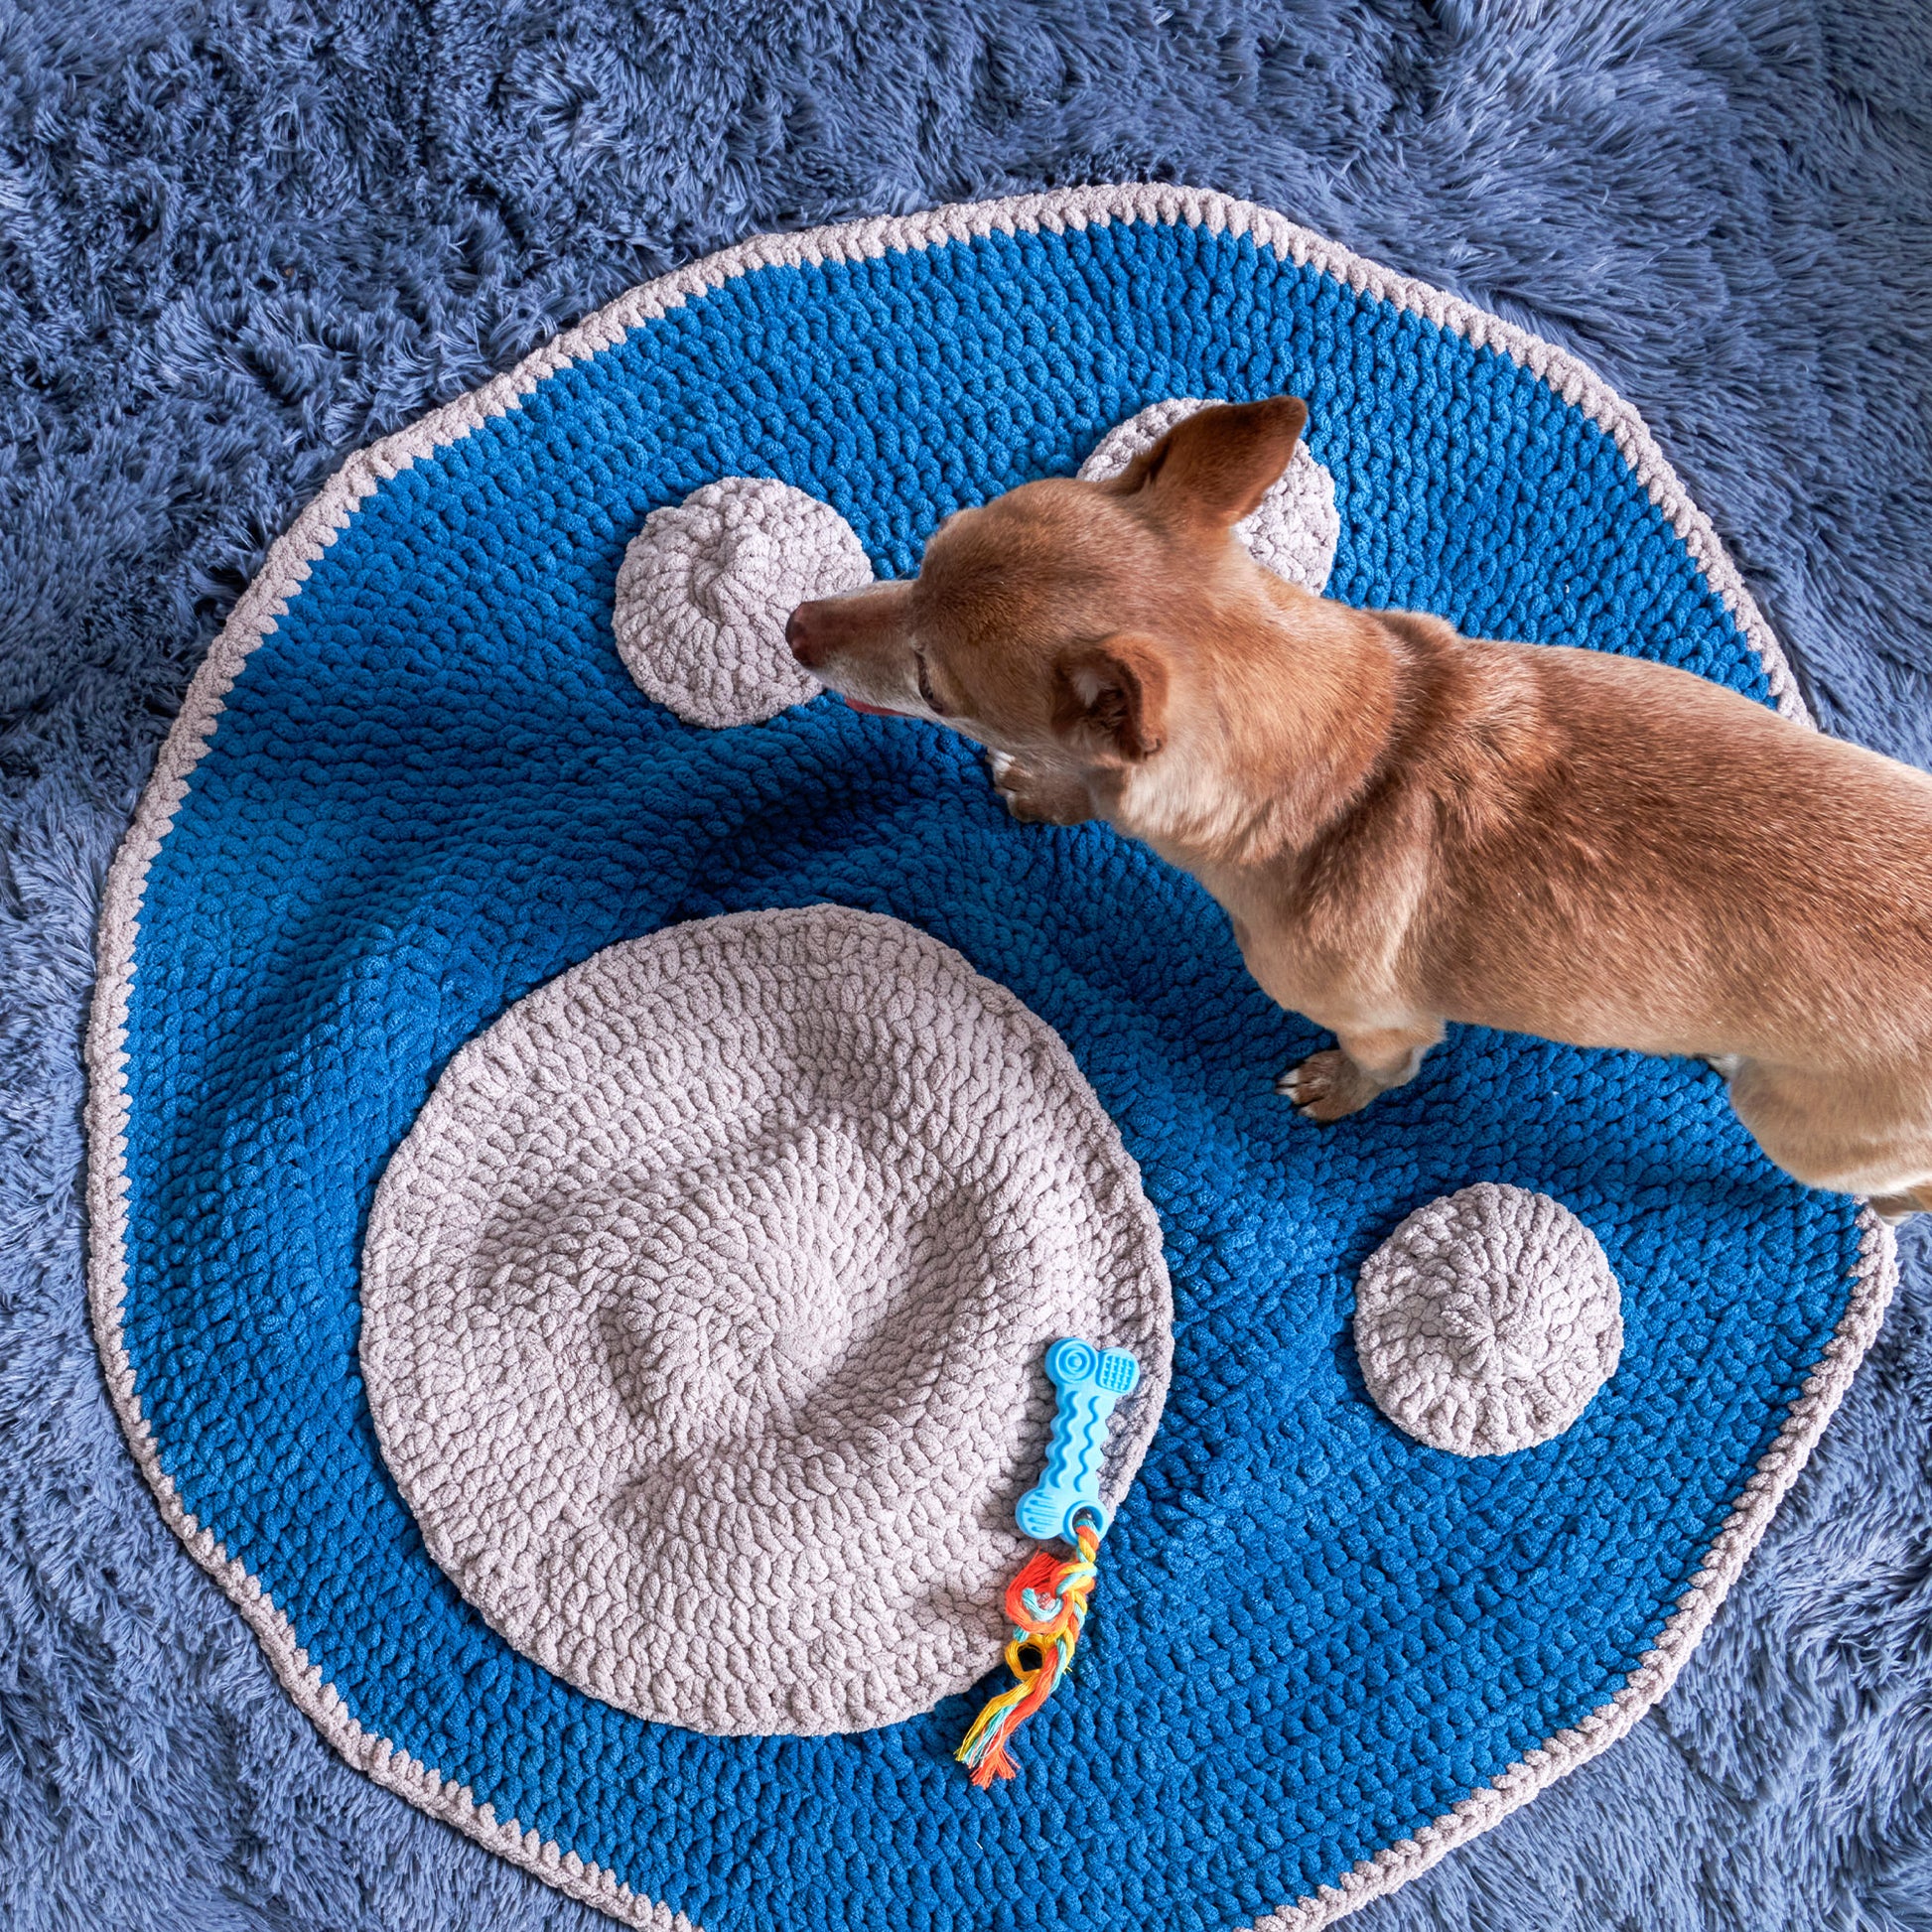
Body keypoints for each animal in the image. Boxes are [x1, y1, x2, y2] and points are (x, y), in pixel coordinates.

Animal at [780, 397, 1932, 1213]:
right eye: (929, 548)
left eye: (935, 689)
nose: (792, 624)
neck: (1360, 753)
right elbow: (1075, 788)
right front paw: (1043, 786)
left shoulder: (1386, 1024)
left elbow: (1382, 1067)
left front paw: (1334, 1092)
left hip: (1800, 1127)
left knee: (1890, 1187)